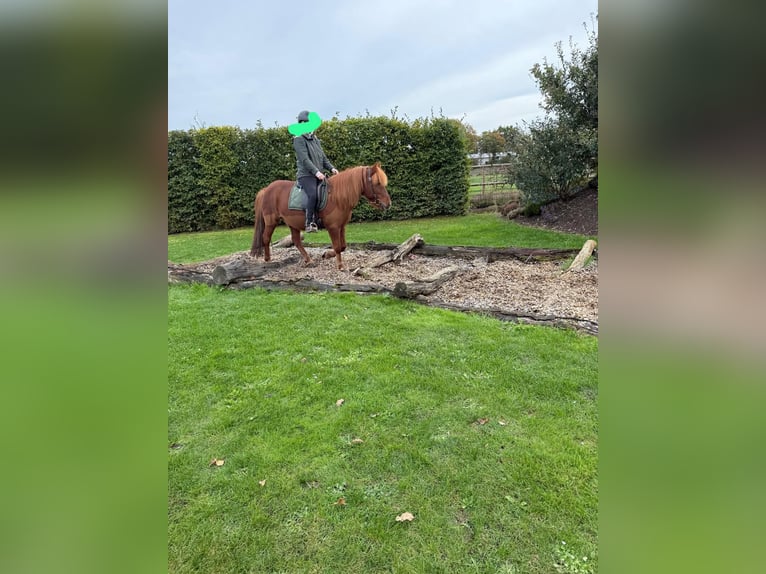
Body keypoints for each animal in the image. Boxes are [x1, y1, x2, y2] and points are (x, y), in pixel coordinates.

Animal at [250, 163, 391, 270]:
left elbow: (343, 246)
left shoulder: (341, 227)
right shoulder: (333, 227)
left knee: (296, 241)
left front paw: (326, 255)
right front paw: (340, 266)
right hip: (271, 221)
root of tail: (266, 189)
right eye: (377, 183)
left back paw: (308, 260)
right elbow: (338, 246)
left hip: (292, 223)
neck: (337, 197)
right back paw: (267, 259)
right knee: (266, 238)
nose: (388, 203)